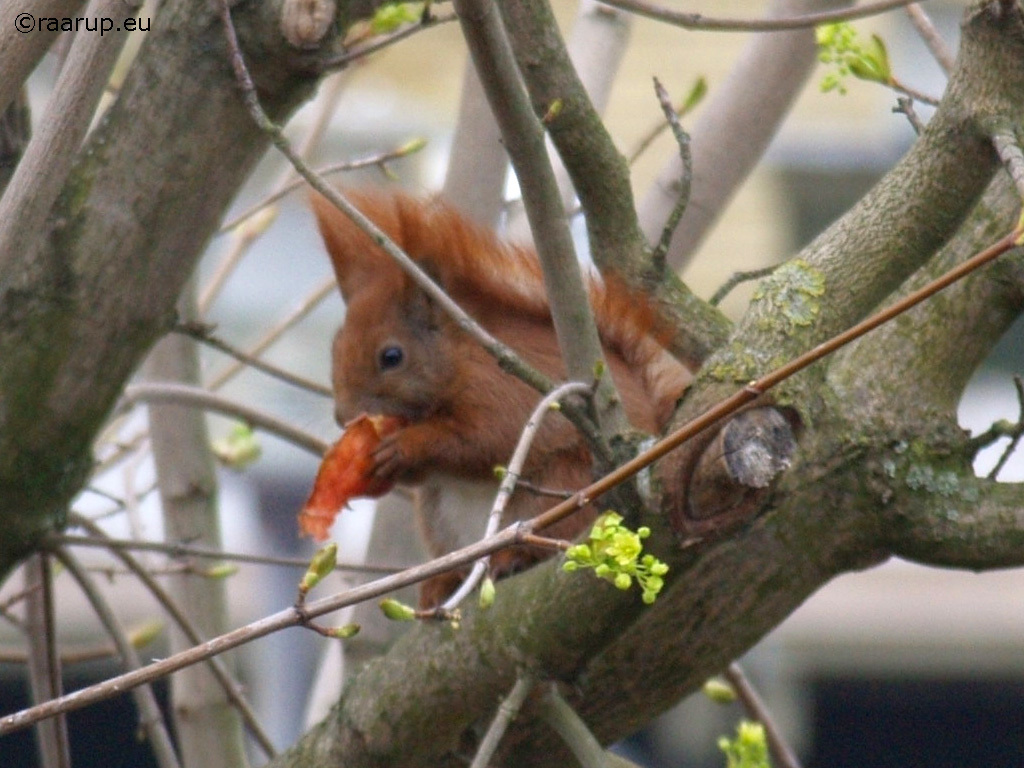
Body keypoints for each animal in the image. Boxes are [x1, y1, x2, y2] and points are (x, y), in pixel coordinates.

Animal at [311, 188, 692, 606]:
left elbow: (481, 439)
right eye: (334, 347)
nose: (344, 417)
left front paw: (406, 446)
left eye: (391, 356)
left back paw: (514, 557)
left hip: (562, 485)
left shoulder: (502, 391)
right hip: (438, 519)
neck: (459, 358)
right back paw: (444, 582)